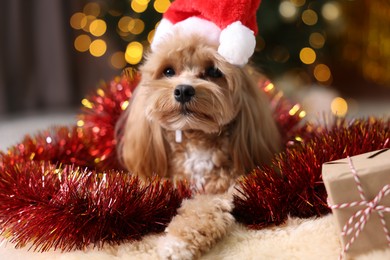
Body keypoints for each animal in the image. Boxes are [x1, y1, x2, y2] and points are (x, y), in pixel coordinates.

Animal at [118, 33, 280, 258]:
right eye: (168, 71)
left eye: (214, 71)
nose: (183, 90)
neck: (196, 142)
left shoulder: (223, 190)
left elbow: (201, 210)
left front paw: (176, 244)